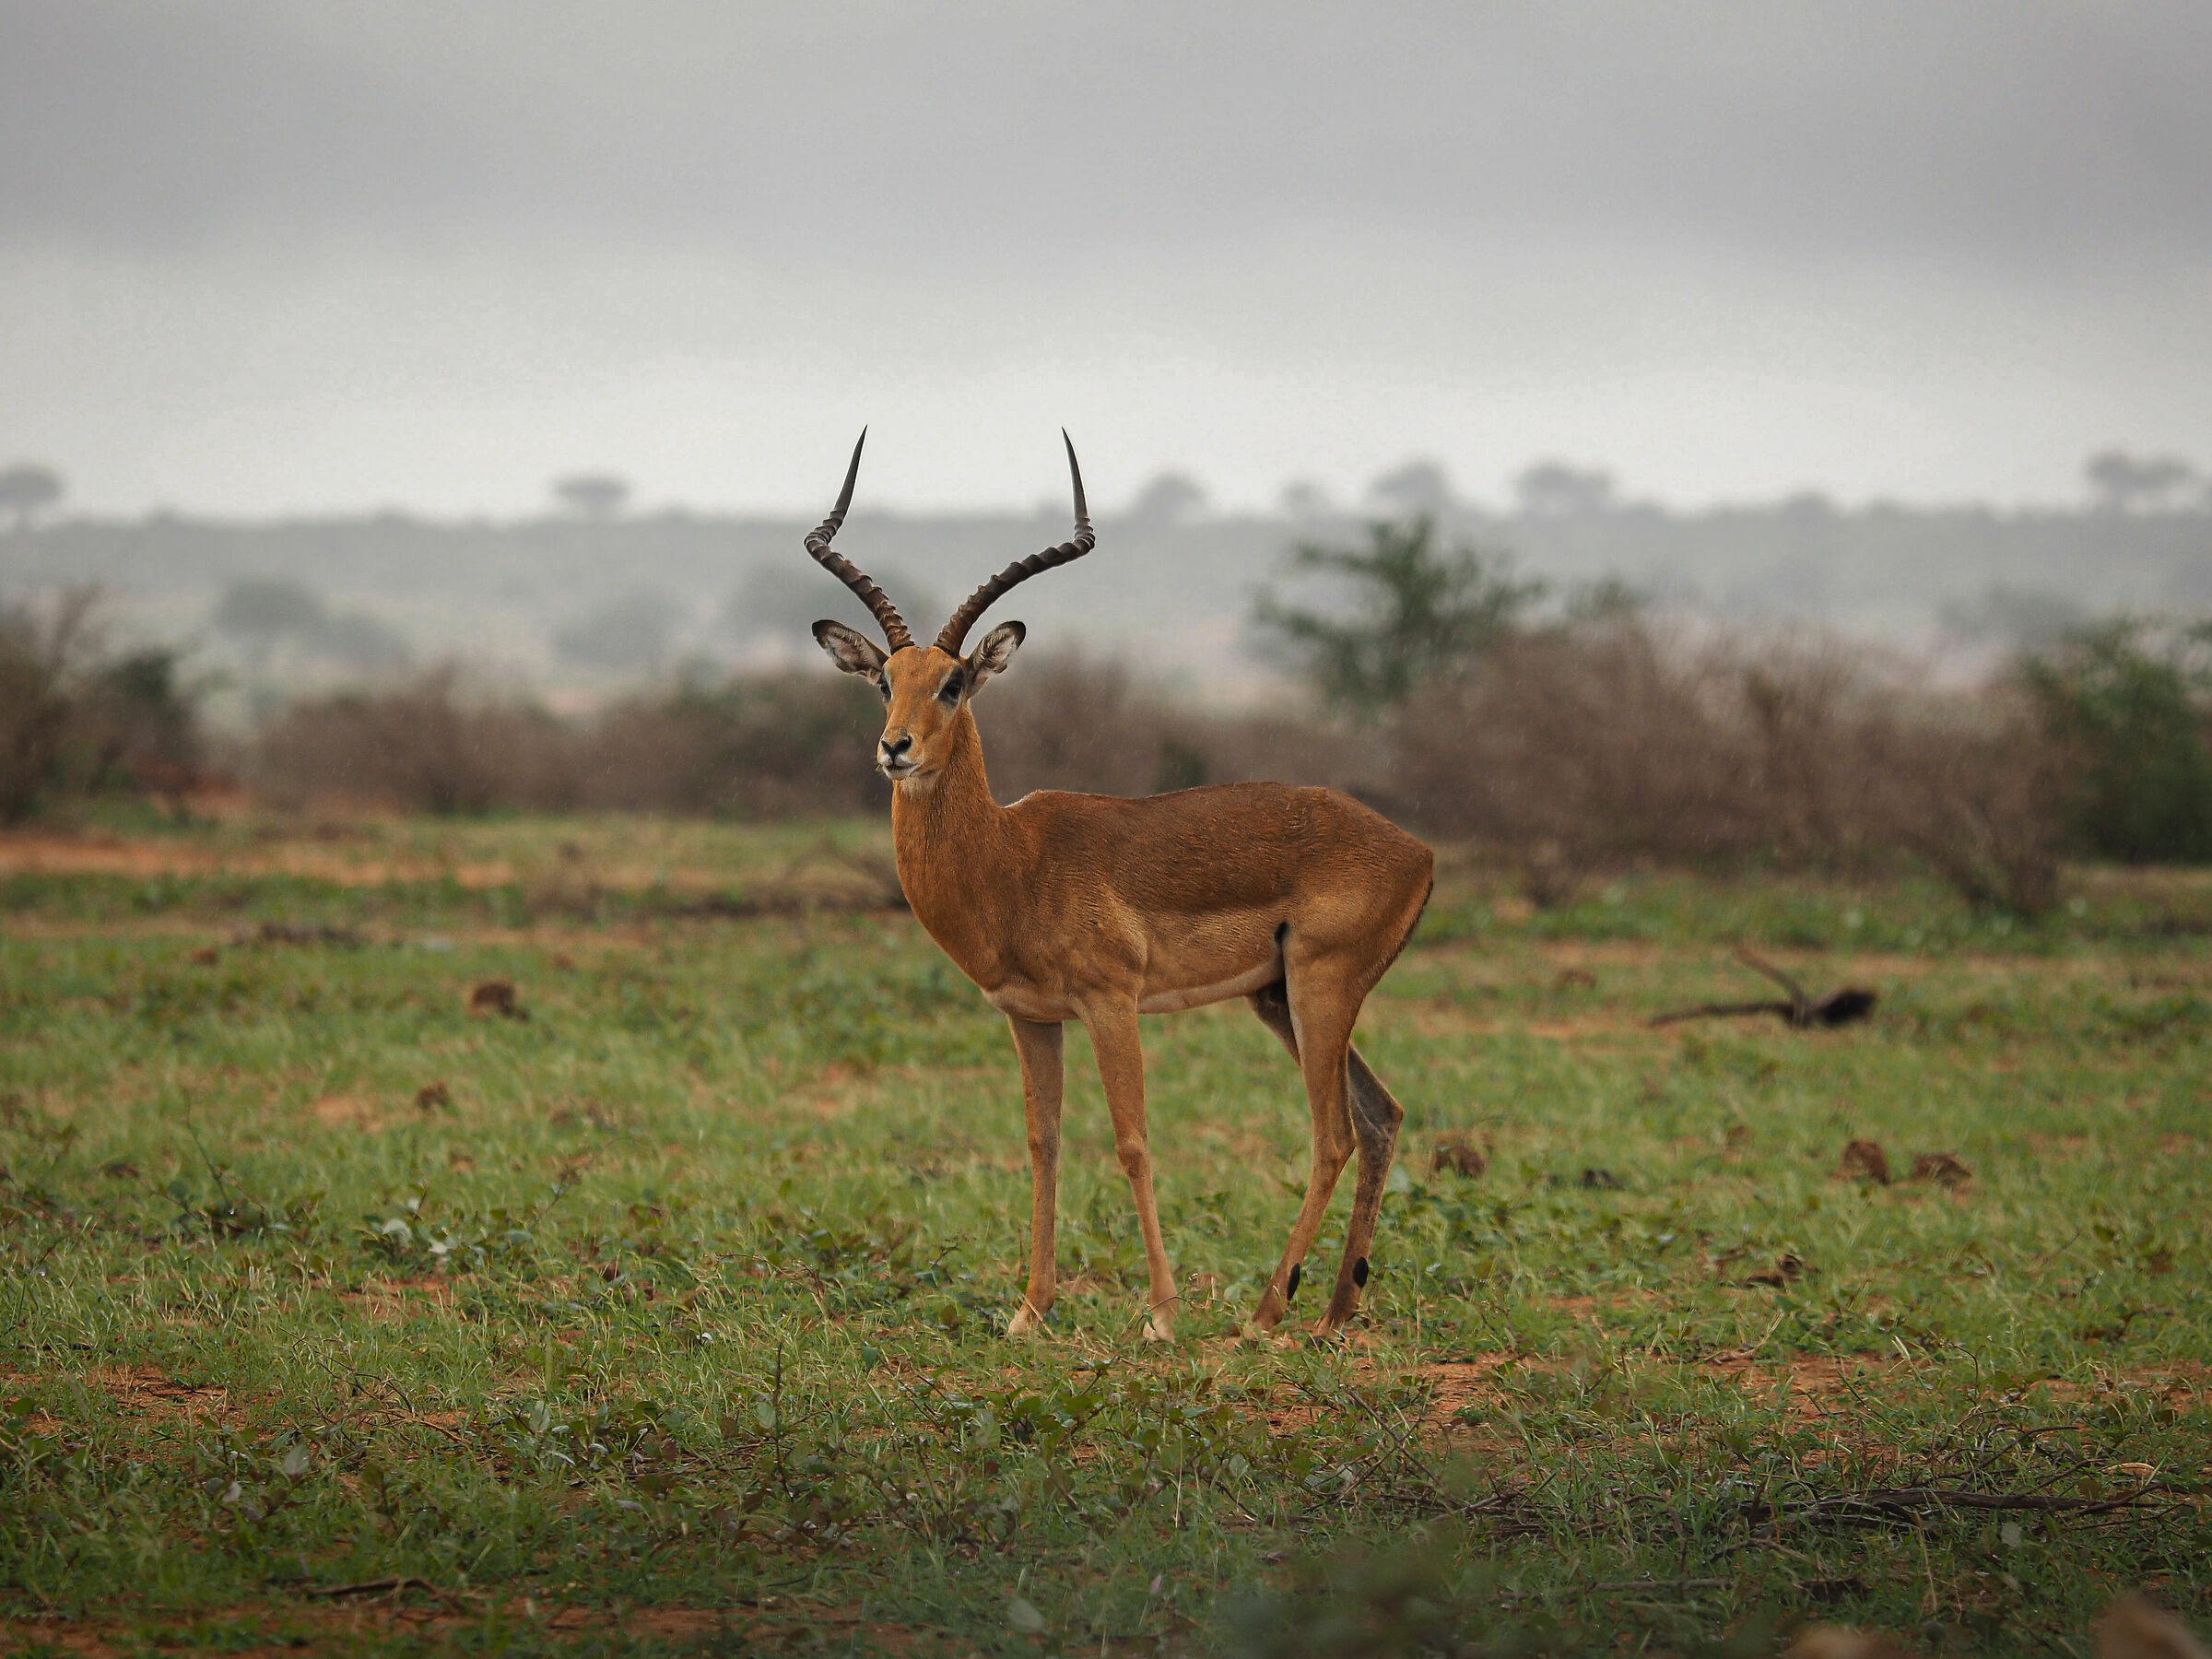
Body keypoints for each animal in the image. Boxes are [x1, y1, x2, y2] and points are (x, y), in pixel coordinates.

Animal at [806, 433, 1433, 1340]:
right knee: (1381, 1116)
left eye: (953, 683)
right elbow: (1044, 1143)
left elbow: (1132, 1140)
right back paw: (1333, 1313)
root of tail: (1416, 851)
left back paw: (1262, 1315)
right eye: (886, 680)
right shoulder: (1031, 1017)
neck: (1010, 860)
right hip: (1278, 997)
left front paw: (1162, 1317)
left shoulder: (1111, 1002)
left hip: (1320, 987)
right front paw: (1029, 1311)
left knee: (1333, 1135)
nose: (896, 748)